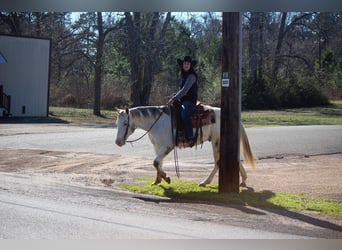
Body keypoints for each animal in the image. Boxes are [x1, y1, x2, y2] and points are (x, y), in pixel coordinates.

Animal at [114, 104, 254, 187]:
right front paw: (157, 180)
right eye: (117, 123)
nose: (118, 142)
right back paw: (243, 180)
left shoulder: (167, 146)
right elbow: (158, 163)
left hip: (217, 143)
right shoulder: (157, 146)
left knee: (218, 163)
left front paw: (167, 178)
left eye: (125, 123)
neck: (157, 122)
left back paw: (205, 182)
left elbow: (155, 162)